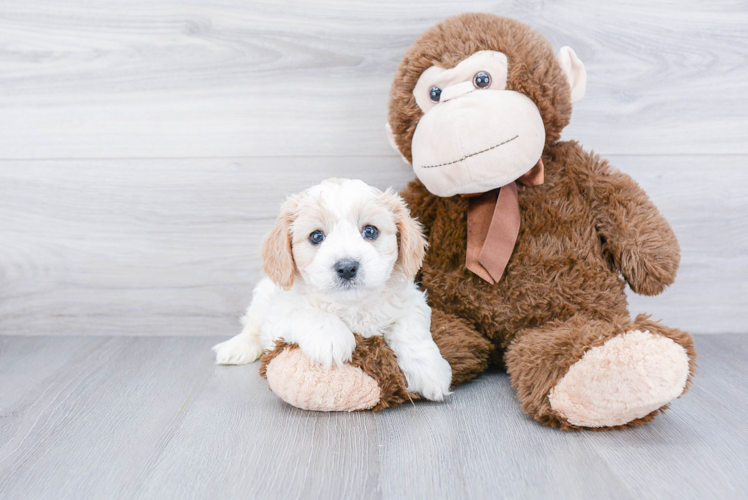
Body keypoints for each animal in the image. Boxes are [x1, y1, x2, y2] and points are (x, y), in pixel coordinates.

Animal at [213, 178, 452, 400]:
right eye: (316, 236)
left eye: (370, 231)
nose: (347, 267)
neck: (352, 306)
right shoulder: (278, 316)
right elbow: (303, 313)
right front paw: (330, 338)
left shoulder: (412, 302)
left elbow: (411, 330)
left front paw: (430, 372)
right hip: (262, 297)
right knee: (251, 327)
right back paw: (236, 348)